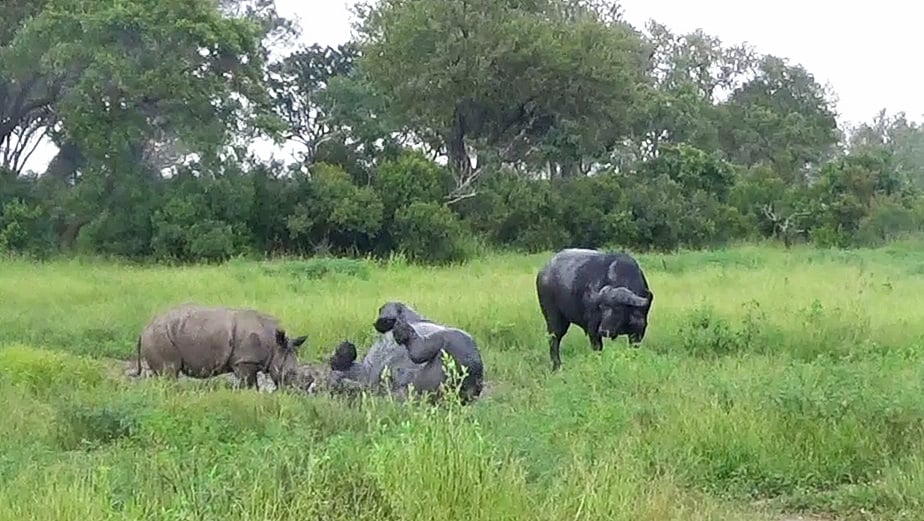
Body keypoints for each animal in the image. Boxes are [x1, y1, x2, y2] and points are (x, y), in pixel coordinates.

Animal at [133, 303, 309, 389]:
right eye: (291, 373)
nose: (296, 391)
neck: (274, 345)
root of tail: (144, 329)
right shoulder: (245, 361)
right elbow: (250, 386)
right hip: (159, 336)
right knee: (168, 372)